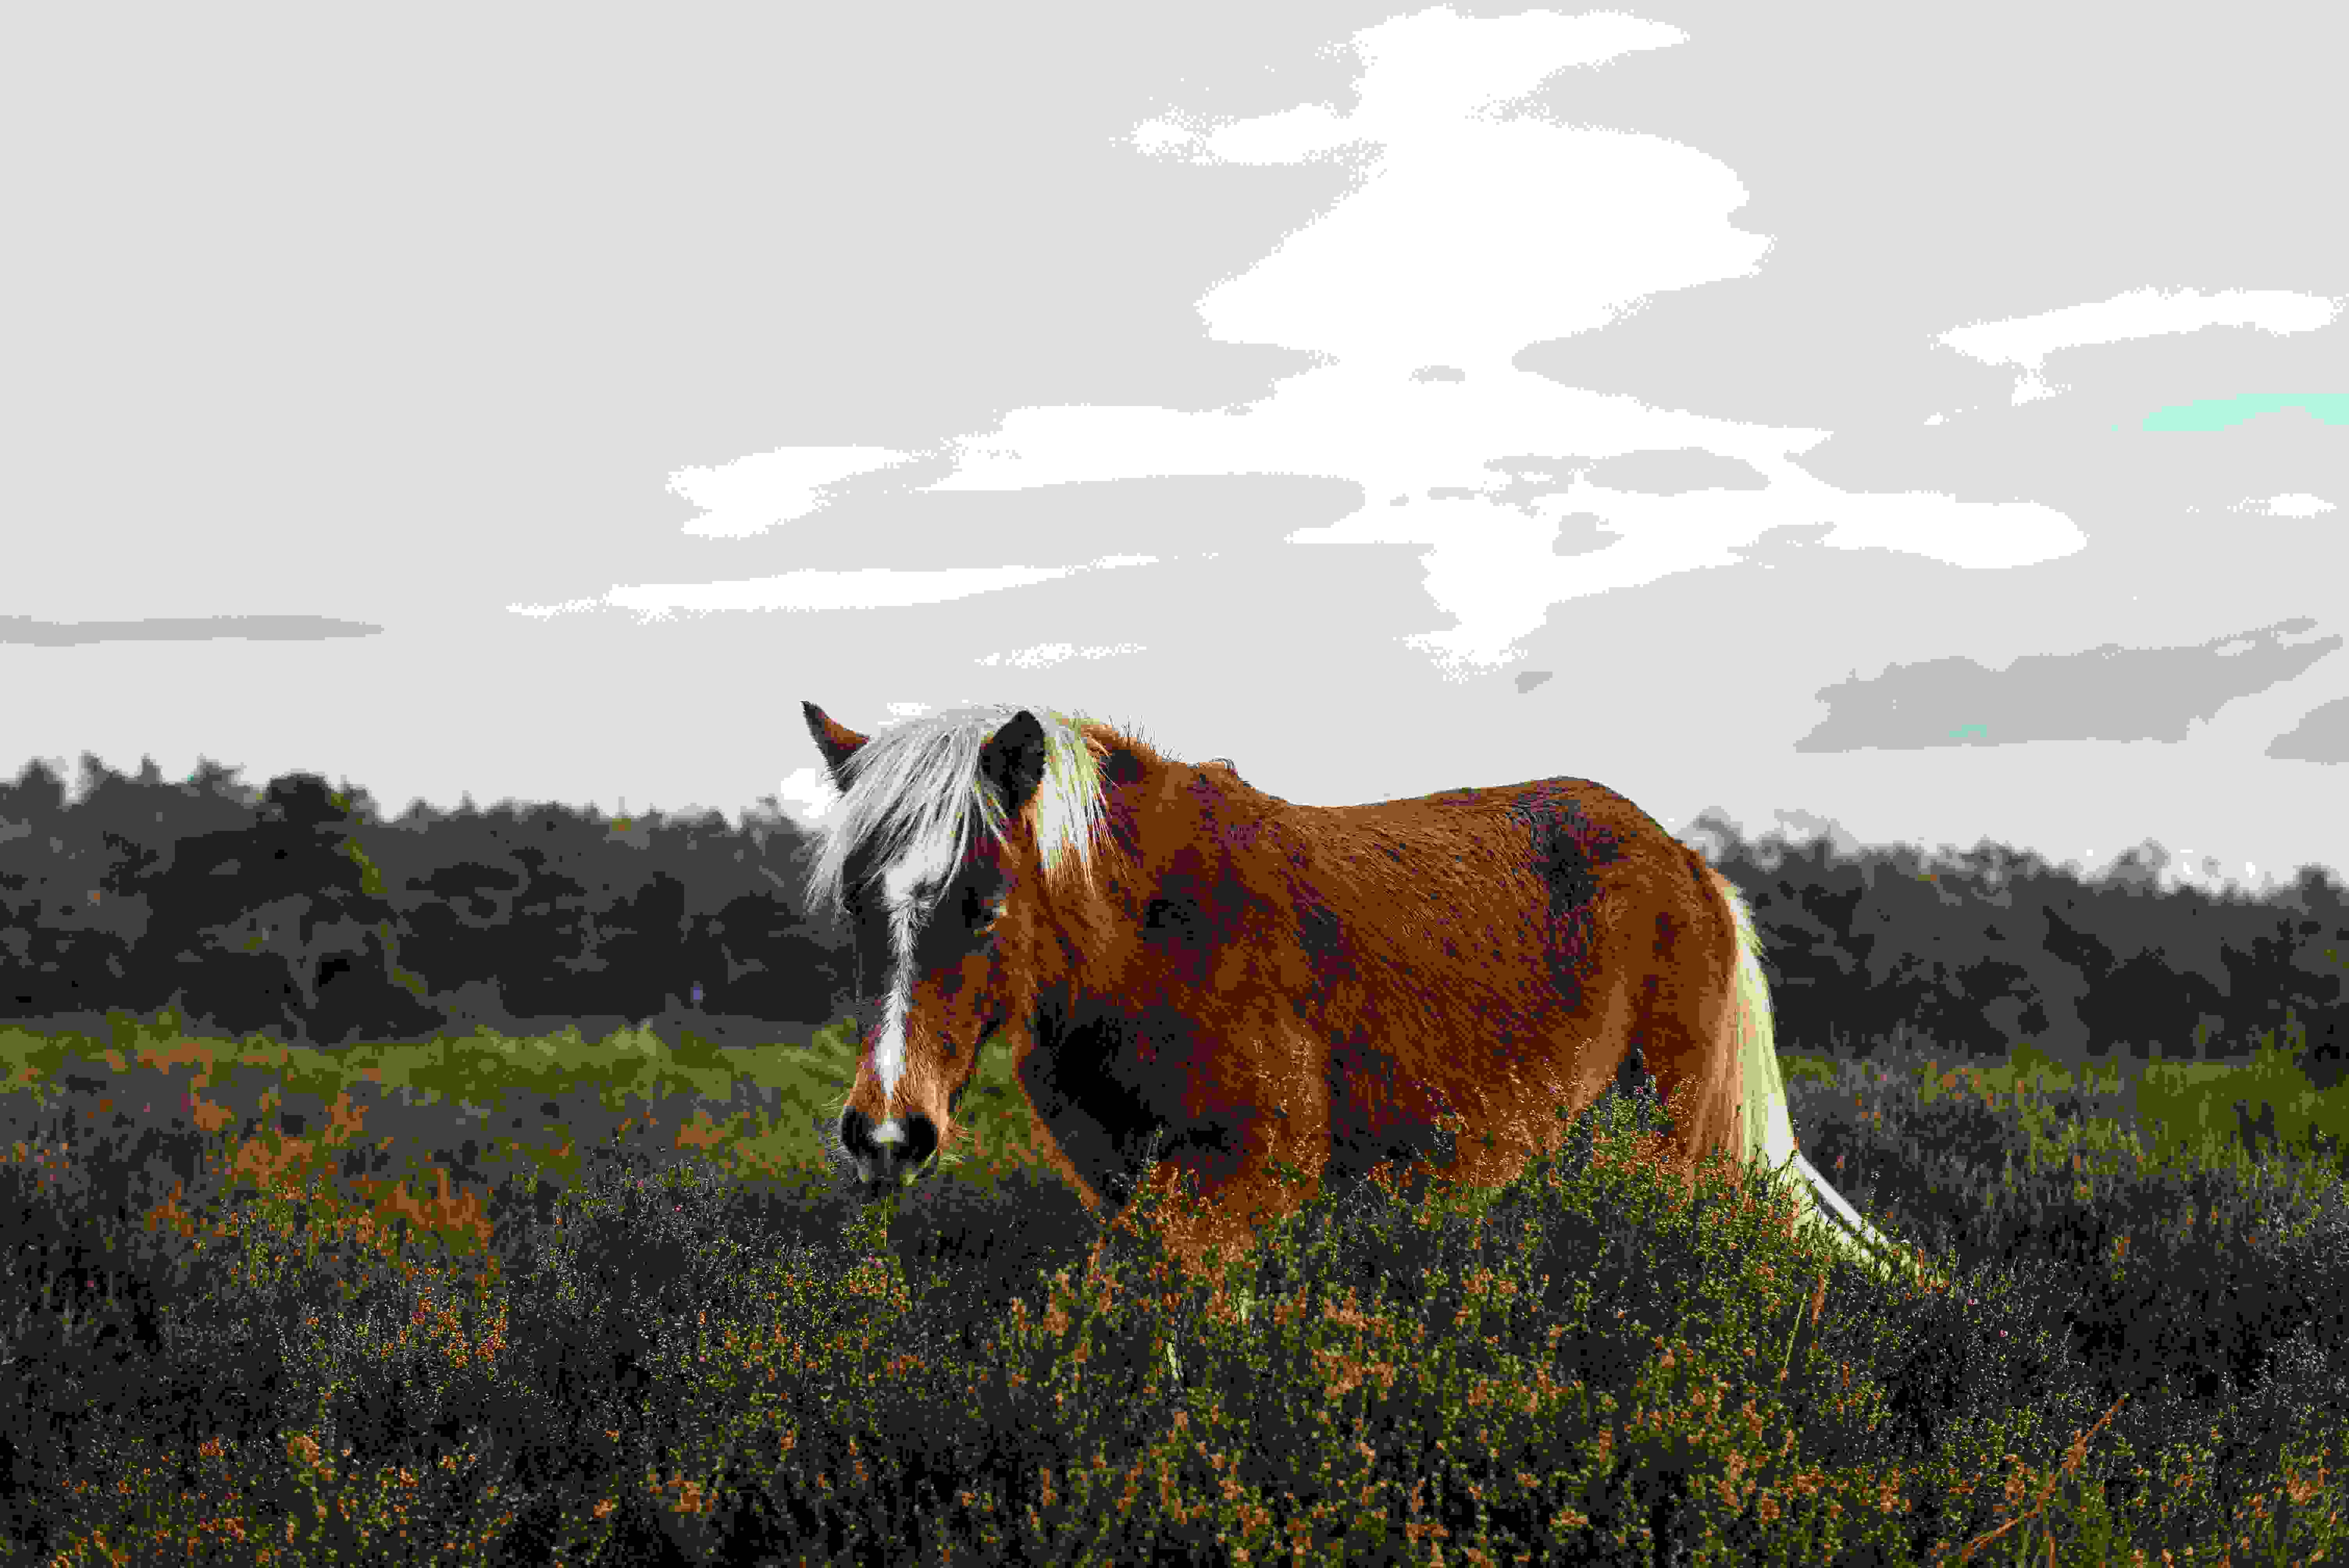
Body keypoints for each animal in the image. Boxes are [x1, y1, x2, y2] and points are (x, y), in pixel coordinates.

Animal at [800, 699, 1935, 1298]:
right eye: (856, 901)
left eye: (984, 903)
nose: (887, 1135)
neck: (1153, 940)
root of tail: (1692, 867)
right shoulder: (1132, 1186)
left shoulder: (1242, 1182)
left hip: (1676, 1148)